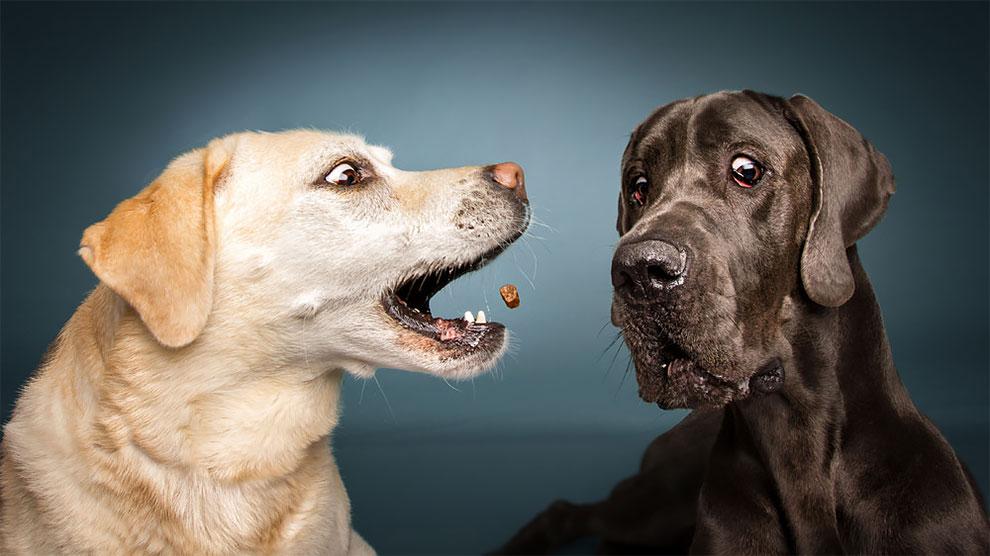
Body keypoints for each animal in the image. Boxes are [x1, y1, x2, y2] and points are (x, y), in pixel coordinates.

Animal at [504, 91, 990, 552]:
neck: (793, 437)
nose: (640, 271)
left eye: (746, 170)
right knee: (569, 512)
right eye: (639, 186)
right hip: (655, 504)